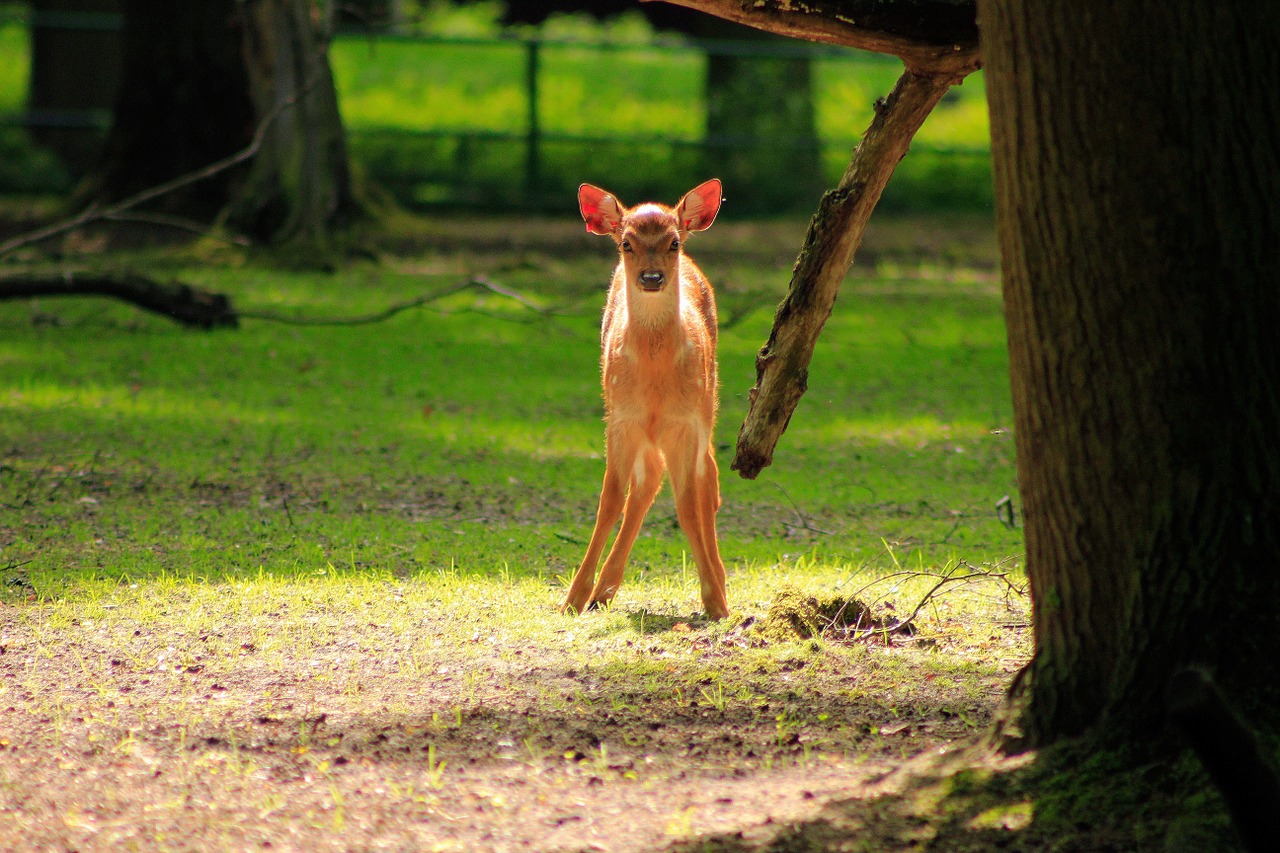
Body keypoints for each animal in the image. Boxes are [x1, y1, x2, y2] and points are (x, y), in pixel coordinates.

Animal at [560, 179, 732, 617]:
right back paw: (603, 590)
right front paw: (573, 598)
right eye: (626, 243)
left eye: (673, 242)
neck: (654, 379)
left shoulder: (685, 423)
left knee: (708, 481)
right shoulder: (620, 419)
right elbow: (609, 501)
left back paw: (720, 579)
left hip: (707, 403)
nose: (652, 277)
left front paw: (715, 601)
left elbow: (688, 507)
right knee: (649, 479)